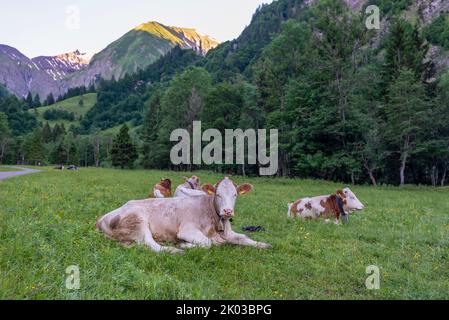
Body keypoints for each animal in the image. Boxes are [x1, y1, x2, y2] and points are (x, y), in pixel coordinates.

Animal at [96, 176, 272, 254]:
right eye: (218, 194)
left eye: (235, 195)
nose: (227, 211)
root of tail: (102, 219)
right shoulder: (187, 230)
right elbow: (207, 243)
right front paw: (184, 245)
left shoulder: (228, 232)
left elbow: (244, 238)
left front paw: (263, 244)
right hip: (138, 221)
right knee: (151, 244)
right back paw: (176, 250)